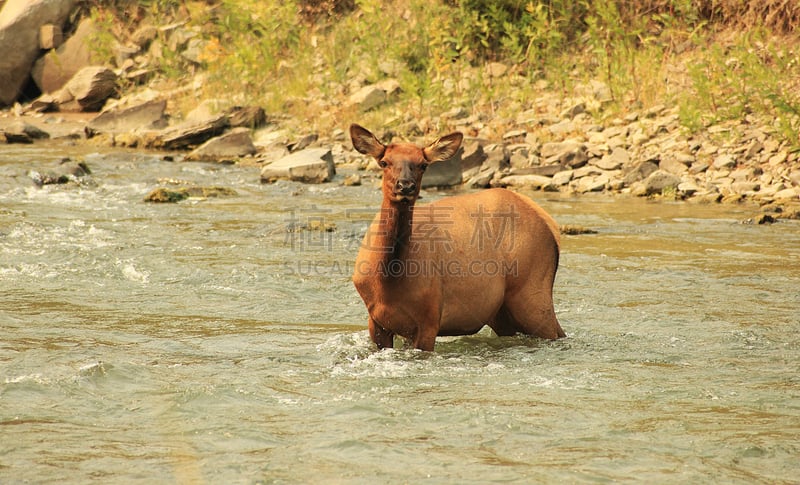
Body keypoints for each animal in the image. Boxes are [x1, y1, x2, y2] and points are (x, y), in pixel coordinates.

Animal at [350, 124, 564, 352]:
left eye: (423, 165)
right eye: (384, 162)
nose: (405, 185)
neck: (388, 280)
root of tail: (549, 224)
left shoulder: (430, 317)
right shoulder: (376, 321)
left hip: (533, 293)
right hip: (502, 312)